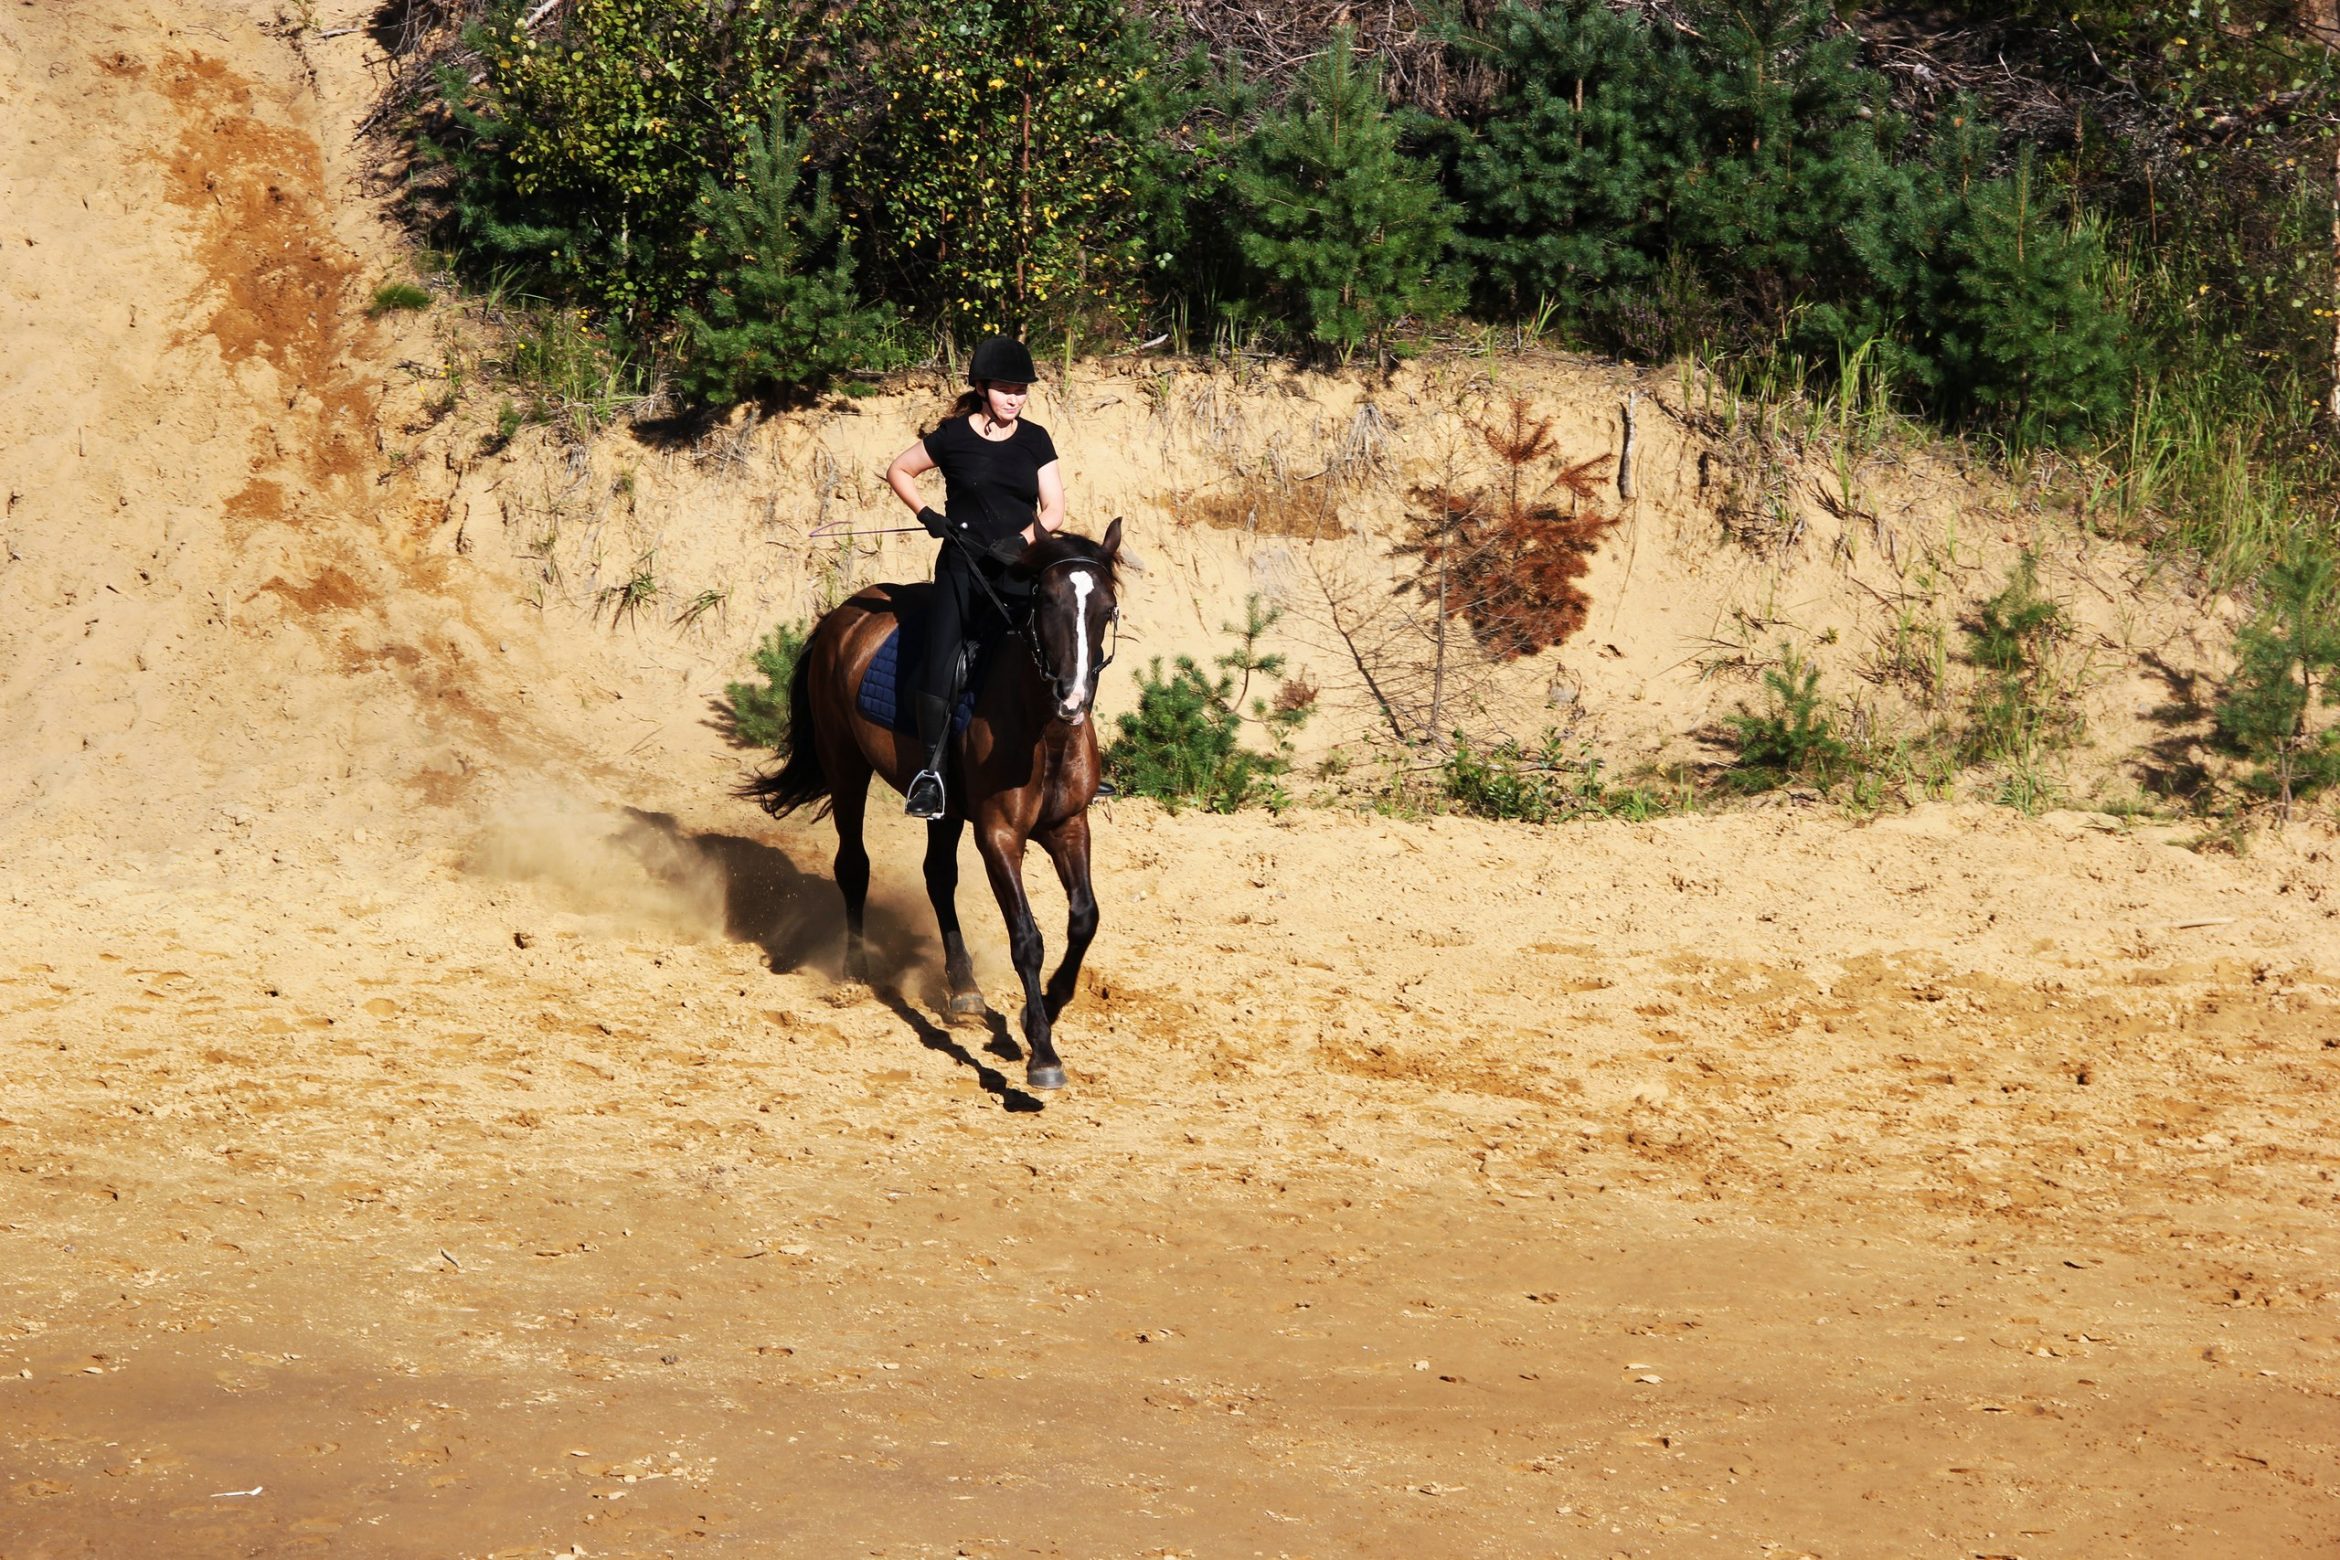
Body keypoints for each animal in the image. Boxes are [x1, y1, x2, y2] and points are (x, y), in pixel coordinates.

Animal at [739, 521, 1123, 1085]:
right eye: (1046, 601)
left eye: (1107, 608)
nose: (1071, 698)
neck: (1044, 732)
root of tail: (845, 611)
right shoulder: (999, 836)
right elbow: (1027, 937)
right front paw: (1043, 1054)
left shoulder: (1069, 827)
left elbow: (1085, 920)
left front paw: (1045, 1008)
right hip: (845, 765)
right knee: (853, 865)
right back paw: (855, 970)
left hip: (945, 808)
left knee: (938, 876)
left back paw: (963, 989)